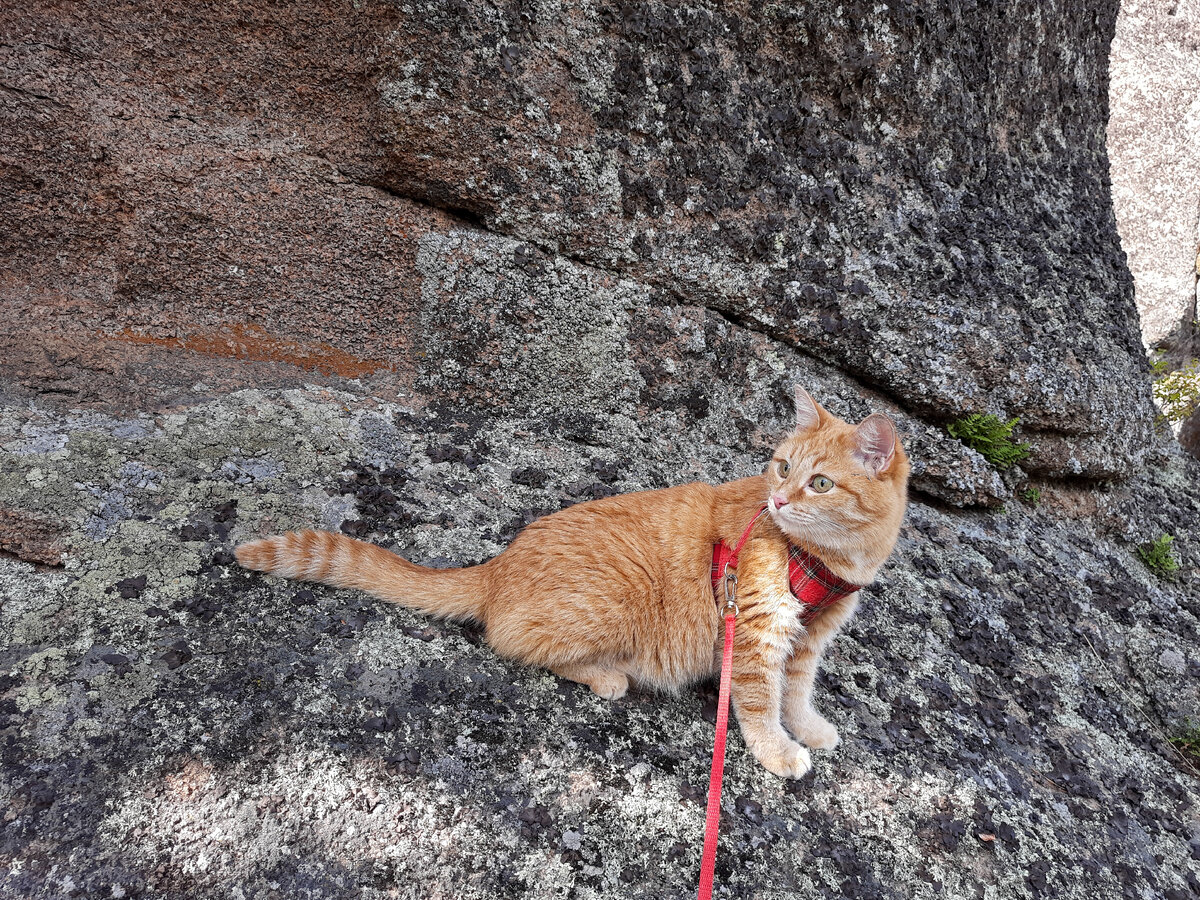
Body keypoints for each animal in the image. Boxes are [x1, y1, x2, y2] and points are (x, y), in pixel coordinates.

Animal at [236, 384, 907, 777]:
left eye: (819, 483)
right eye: (781, 467)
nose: (779, 501)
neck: (827, 560)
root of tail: (500, 563)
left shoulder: (807, 641)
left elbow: (796, 692)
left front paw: (809, 727)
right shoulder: (756, 635)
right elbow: (761, 703)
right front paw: (777, 750)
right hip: (617, 597)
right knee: (514, 640)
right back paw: (607, 674)